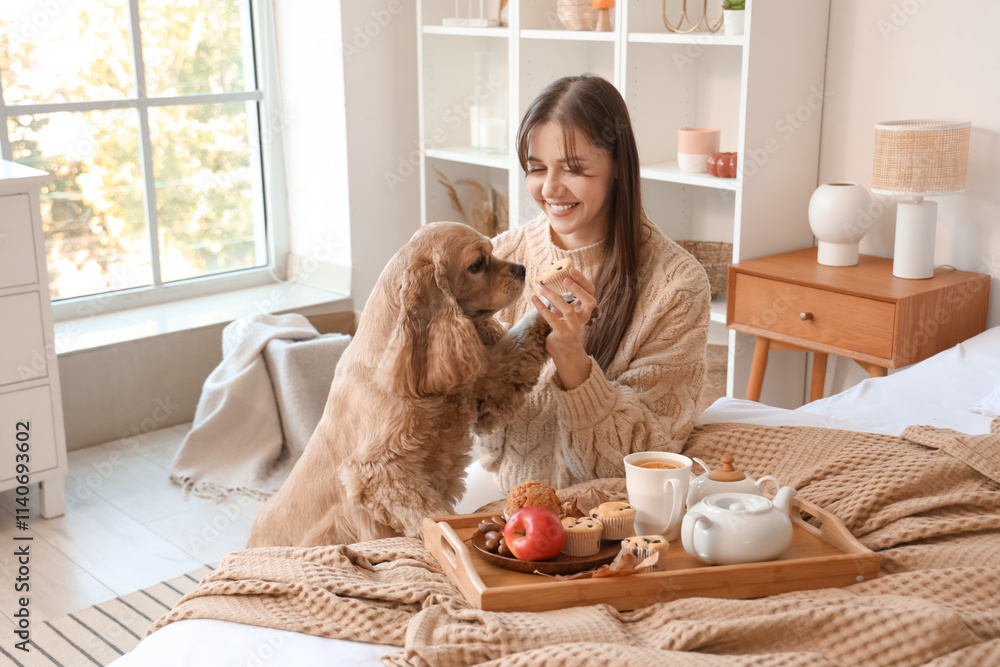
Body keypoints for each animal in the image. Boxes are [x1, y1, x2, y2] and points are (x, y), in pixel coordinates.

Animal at [247, 223, 552, 548]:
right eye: (478, 264)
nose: (521, 269)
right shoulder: (378, 470)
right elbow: (429, 513)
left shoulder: (483, 381)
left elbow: (519, 344)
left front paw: (553, 306)